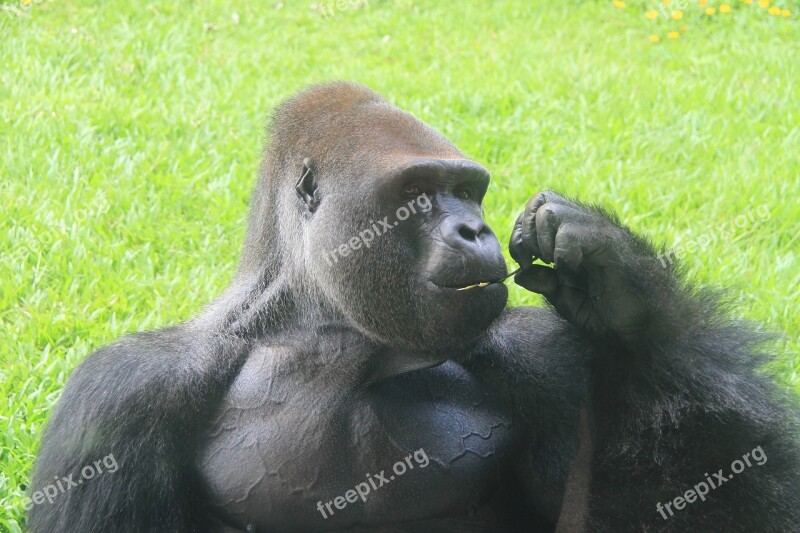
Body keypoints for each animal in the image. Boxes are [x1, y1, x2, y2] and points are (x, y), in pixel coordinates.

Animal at [29, 81, 800, 528]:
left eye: (470, 190)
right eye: (421, 193)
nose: (475, 230)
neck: (331, 331)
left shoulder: (543, 359)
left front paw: (625, 299)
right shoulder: (121, 394)